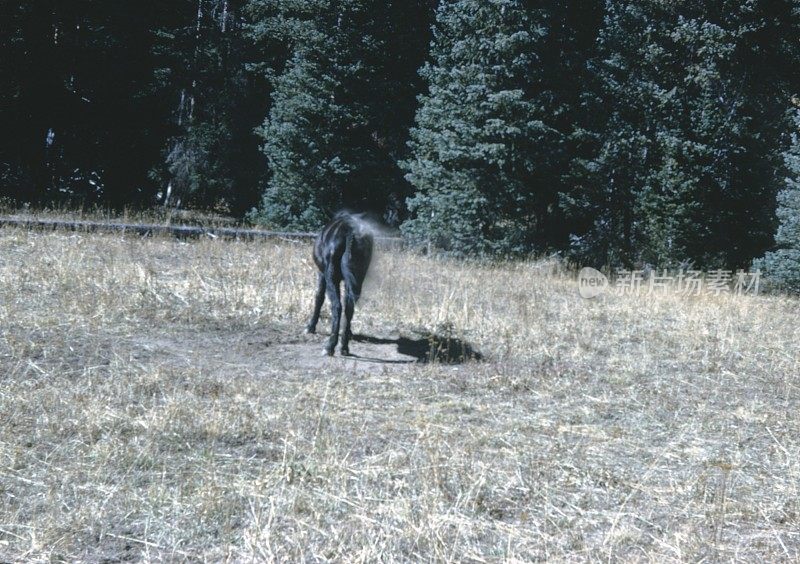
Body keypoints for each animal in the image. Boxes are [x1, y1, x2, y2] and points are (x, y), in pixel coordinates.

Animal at [306, 214, 376, 354]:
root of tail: (350, 230)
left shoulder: (322, 274)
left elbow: (319, 297)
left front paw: (311, 326)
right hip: (357, 279)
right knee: (349, 307)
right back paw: (344, 346)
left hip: (331, 277)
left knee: (337, 306)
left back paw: (330, 346)